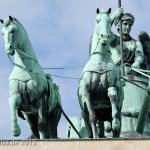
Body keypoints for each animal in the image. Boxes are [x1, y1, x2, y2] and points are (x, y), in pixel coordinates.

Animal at [77, 8, 124, 138]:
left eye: (109, 21)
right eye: (97, 20)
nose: (104, 36)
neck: (100, 60)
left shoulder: (113, 84)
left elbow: (112, 93)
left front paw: (115, 123)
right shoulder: (87, 93)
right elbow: (93, 117)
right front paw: (96, 137)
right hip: (84, 114)